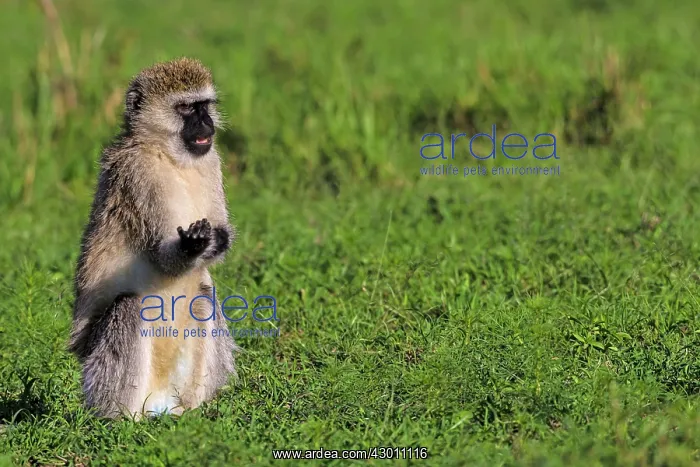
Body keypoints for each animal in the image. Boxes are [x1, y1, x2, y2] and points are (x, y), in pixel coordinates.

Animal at [68, 57, 238, 419]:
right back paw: (123, 419)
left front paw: (216, 238)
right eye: (186, 108)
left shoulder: (212, 160)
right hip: (98, 371)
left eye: (205, 106)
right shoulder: (139, 173)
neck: (171, 157)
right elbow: (162, 256)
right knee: (129, 307)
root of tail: (159, 401)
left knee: (205, 295)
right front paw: (193, 243)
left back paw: (193, 411)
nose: (206, 123)